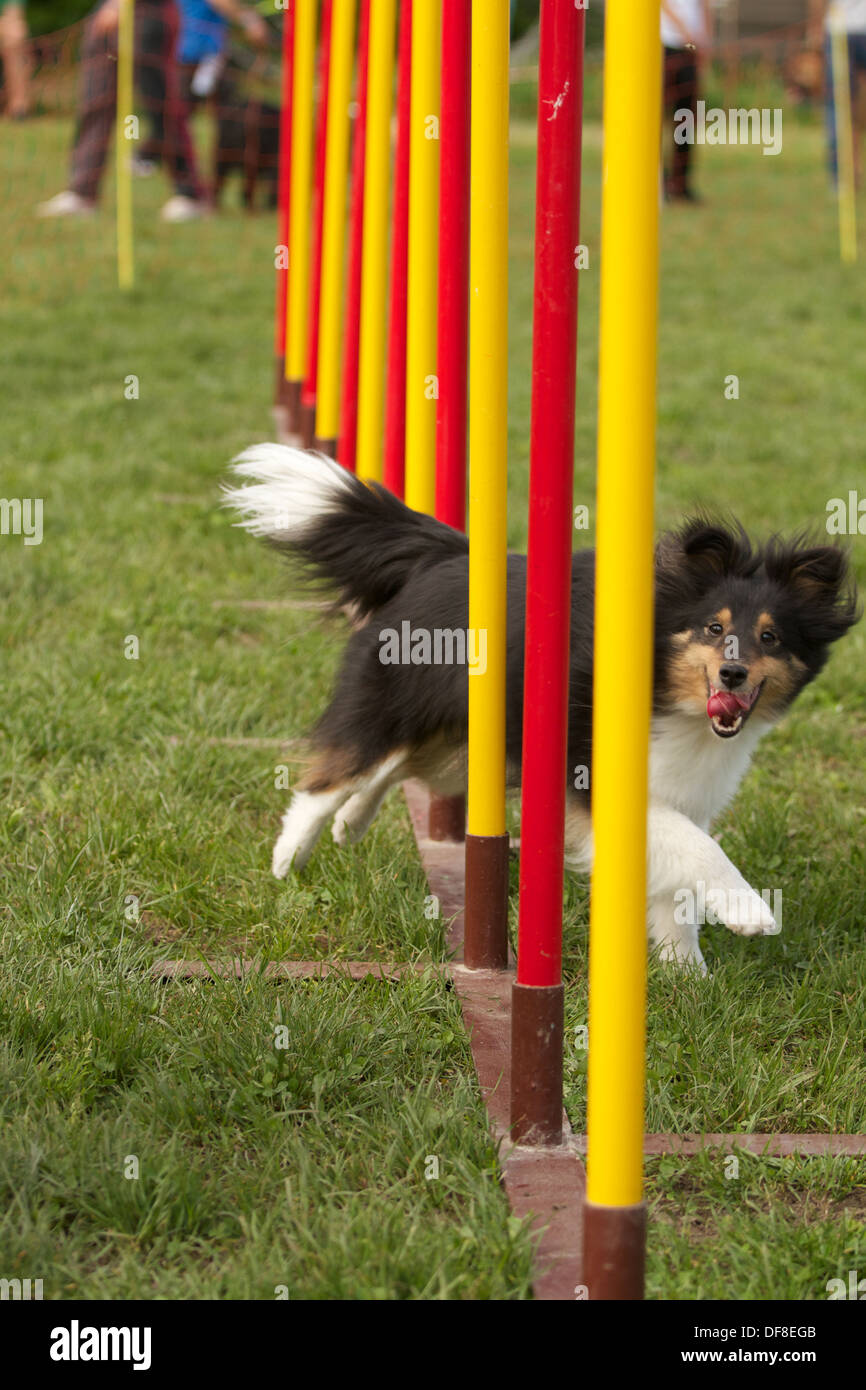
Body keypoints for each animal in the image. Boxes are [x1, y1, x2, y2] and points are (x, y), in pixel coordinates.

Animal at [225, 444, 861, 967]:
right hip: (400, 703)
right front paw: (750, 912)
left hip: (468, 743)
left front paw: (686, 977)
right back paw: (290, 855)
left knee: (395, 768)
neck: (666, 694)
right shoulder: (597, 777)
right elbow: (696, 847)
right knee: (335, 772)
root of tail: (443, 556)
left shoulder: (680, 786)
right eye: (713, 627)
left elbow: (672, 888)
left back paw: (351, 824)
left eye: (770, 637)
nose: (732, 672)